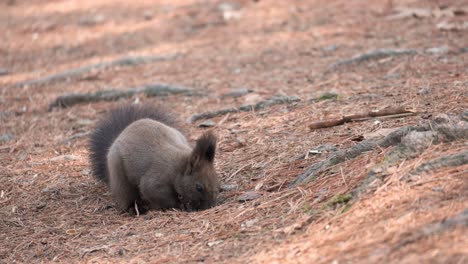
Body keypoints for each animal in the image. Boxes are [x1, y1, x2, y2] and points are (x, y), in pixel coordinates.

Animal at [88, 104, 220, 213]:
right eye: (198, 187)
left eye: (216, 182)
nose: (210, 205)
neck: (178, 167)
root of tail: (121, 133)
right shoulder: (155, 181)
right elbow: (157, 194)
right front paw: (180, 205)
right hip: (119, 174)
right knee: (126, 194)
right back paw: (135, 209)